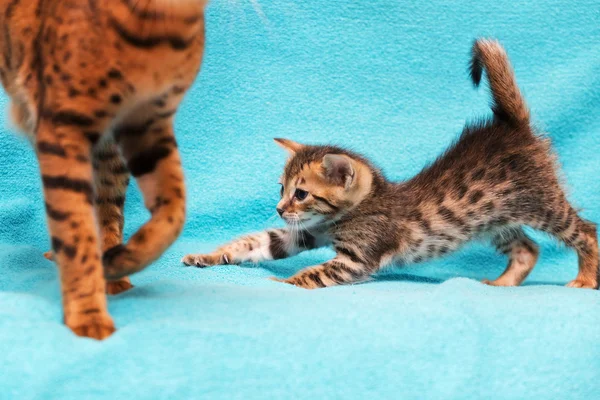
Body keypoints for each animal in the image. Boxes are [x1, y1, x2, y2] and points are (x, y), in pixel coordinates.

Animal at [0, 0, 210, 340]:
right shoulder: (62, 128)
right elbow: (74, 227)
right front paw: (88, 314)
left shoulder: (148, 123)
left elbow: (173, 212)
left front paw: (118, 263)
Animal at [183, 39, 600, 290]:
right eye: (281, 189)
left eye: (300, 194)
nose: (279, 208)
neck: (355, 210)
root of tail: (512, 127)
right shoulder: (300, 233)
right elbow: (253, 242)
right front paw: (207, 256)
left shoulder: (355, 260)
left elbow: (313, 273)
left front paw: (283, 285)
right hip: (493, 220)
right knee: (528, 249)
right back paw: (502, 284)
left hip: (542, 203)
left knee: (586, 231)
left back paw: (585, 278)